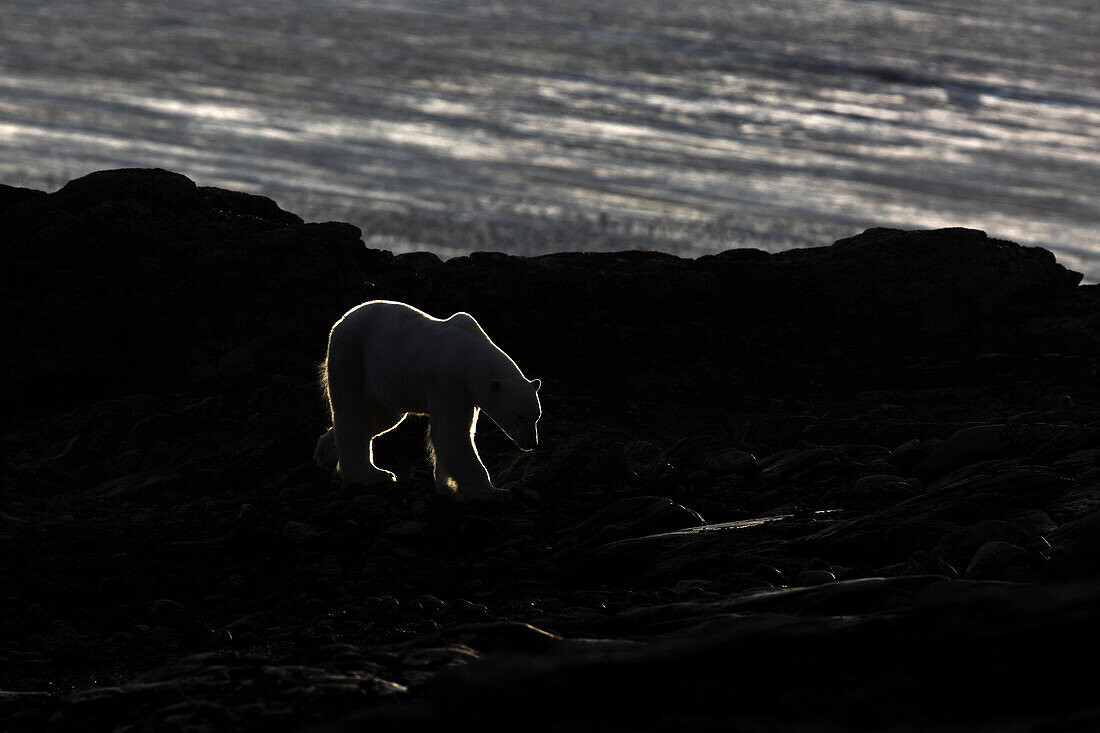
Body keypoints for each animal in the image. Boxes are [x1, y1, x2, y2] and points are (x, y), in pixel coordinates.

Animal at [314, 299, 541, 499]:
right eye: (519, 416)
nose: (531, 444)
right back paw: (371, 475)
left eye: (536, 417)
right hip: (351, 356)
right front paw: (491, 492)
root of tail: (341, 321)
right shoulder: (447, 379)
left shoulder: (465, 391)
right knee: (352, 413)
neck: (467, 353)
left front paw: (445, 486)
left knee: (380, 418)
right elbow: (452, 431)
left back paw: (325, 455)